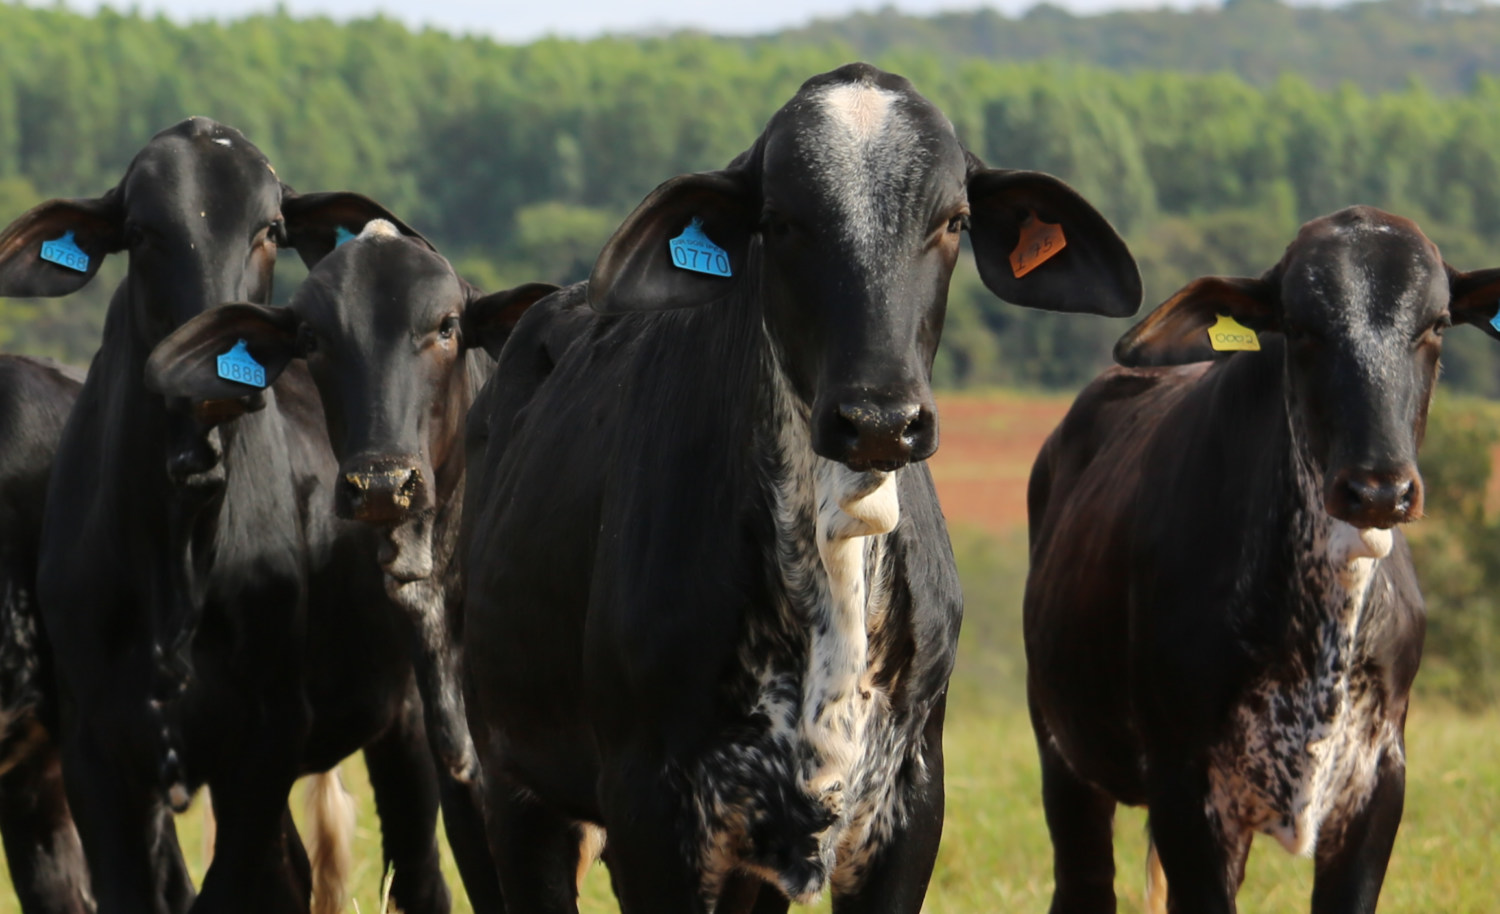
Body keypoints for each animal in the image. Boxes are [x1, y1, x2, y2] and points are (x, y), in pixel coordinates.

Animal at [0, 117, 486, 912]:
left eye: (270, 229)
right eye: (140, 231)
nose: (210, 379)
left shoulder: (266, 738)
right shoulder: (93, 751)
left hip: (411, 722)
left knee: (418, 871)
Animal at [462, 60, 1140, 906]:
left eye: (953, 220)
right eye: (781, 221)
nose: (880, 419)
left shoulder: (907, 809)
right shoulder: (648, 815)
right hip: (511, 784)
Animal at [1020, 205, 1500, 912]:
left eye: (1437, 323)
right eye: (1300, 326)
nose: (1378, 490)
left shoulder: (1377, 783)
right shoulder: (1186, 789)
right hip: (1065, 758)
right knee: (1084, 883)